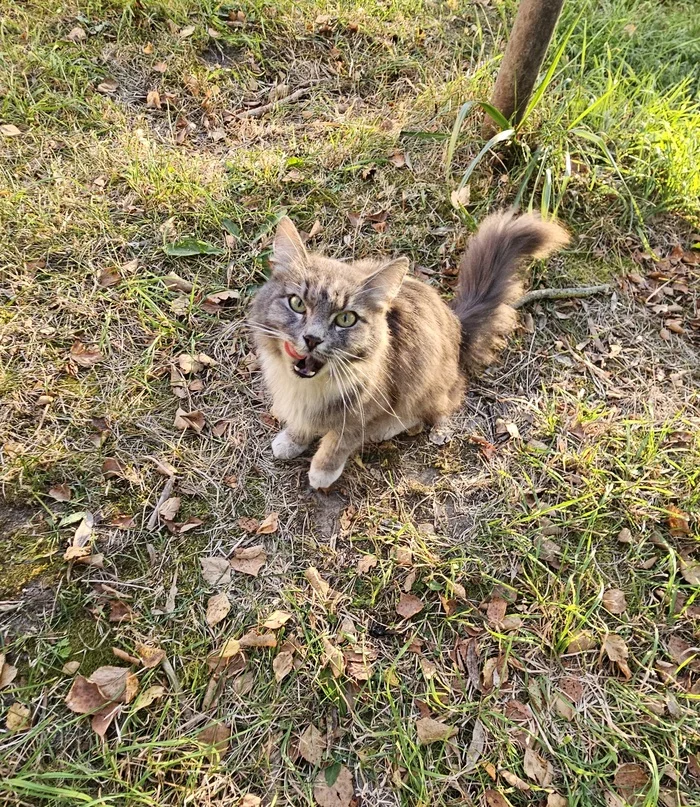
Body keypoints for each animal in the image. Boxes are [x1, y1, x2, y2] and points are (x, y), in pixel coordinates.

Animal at [250, 210, 568, 486]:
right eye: (297, 304)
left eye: (345, 319)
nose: (312, 339)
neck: (309, 387)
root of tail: (457, 323)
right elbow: (302, 425)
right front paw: (291, 440)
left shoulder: (365, 409)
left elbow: (338, 442)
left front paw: (322, 472)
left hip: (427, 386)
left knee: (436, 409)